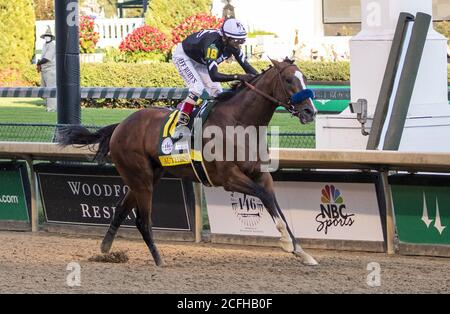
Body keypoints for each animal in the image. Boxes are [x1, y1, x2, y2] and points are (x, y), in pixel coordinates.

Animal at [59, 58, 320, 264]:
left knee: (121, 209)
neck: (241, 123)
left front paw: (302, 252)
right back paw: (158, 259)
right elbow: (265, 197)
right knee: (143, 220)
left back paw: (106, 249)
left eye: (304, 77)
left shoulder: (261, 175)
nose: (310, 112)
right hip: (141, 178)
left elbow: (276, 207)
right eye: (288, 79)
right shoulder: (229, 178)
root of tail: (120, 125)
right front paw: (287, 243)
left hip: (146, 177)